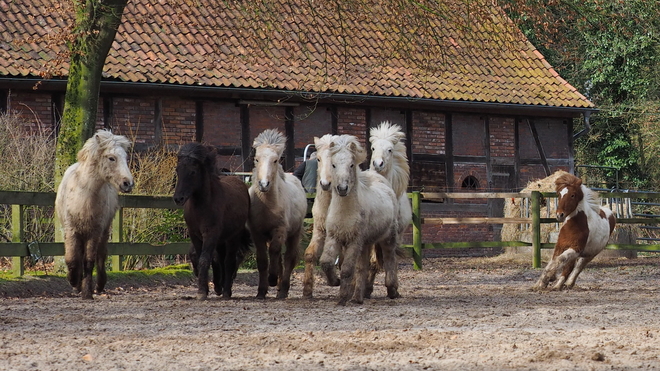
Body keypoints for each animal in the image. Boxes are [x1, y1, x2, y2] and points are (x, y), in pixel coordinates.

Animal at [56, 129, 135, 300]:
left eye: (126, 158)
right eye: (111, 158)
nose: (128, 183)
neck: (83, 196)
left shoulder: (95, 231)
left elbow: (89, 261)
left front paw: (87, 293)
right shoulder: (71, 230)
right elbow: (72, 259)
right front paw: (74, 282)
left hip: (103, 232)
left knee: (100, 255)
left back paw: (99, 285)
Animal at [171, 144, 251, 300]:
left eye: (193, 172)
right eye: (177, 170)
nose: (178, 198)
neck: (202, 206)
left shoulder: (211, 233)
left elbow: (204, 259)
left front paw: (202, 292)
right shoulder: (194, 234)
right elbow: (199, 257)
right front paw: (205, 287)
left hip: (233, 237)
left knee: (229, 260)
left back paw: (226, 291)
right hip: (221, 240)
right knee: (220, 258)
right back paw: (219, 286)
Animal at [249, 129, 308, 300]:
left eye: (275, 160)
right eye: (256, 159)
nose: (264, 184)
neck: (267, 205)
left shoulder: (279, 230)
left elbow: (275, 252)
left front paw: (273, 279)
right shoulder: (257, 233)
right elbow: (262, 259)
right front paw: (261, 291)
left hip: (294, 233)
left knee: (288, 258)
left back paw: (283, 290)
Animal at [318, 135, 400, 306]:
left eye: (351, 165)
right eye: (333, 165)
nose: (342, 189)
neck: (346, 213)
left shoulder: (354, 241)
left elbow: (347, 269)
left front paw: (343, 298)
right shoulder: (334, 237)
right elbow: (326, 262)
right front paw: (335, 282)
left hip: (388, 237)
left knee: (390, 259)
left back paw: (392, 290)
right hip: (366, 243)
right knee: (363, 267)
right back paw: (358, 297)